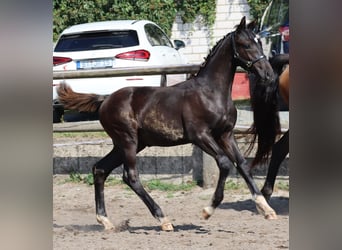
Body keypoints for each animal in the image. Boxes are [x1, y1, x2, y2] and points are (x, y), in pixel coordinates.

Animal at [57, 17, 278, 231]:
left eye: (259, 42)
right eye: (245, 44)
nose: (269, 74)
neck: (210, 92)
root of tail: (104, 100)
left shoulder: (225, 134)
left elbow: (243, 165)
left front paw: (266, 209)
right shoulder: (200, 135)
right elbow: (224, 163)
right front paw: (207, 210)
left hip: (130, 144)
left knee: (100, 169)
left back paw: (106, 221)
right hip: (128, 141)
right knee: (131, 177)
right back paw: (163, 219)